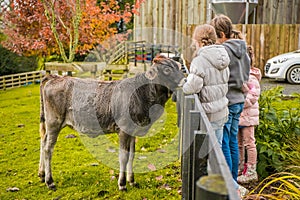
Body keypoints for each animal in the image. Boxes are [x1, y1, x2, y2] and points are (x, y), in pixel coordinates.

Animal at [38, 56, 185, 191]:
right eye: (167, 69)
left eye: (178, 66)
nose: (184, 80)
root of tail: (53, 77)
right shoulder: (123, 130)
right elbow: (123, 157)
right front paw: (122, 184)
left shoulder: (133, 131)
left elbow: (132, 155)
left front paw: (132, 180)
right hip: (54, 123)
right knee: (48, 149)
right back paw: (50, 181)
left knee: (43, 141)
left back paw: (42, 173)